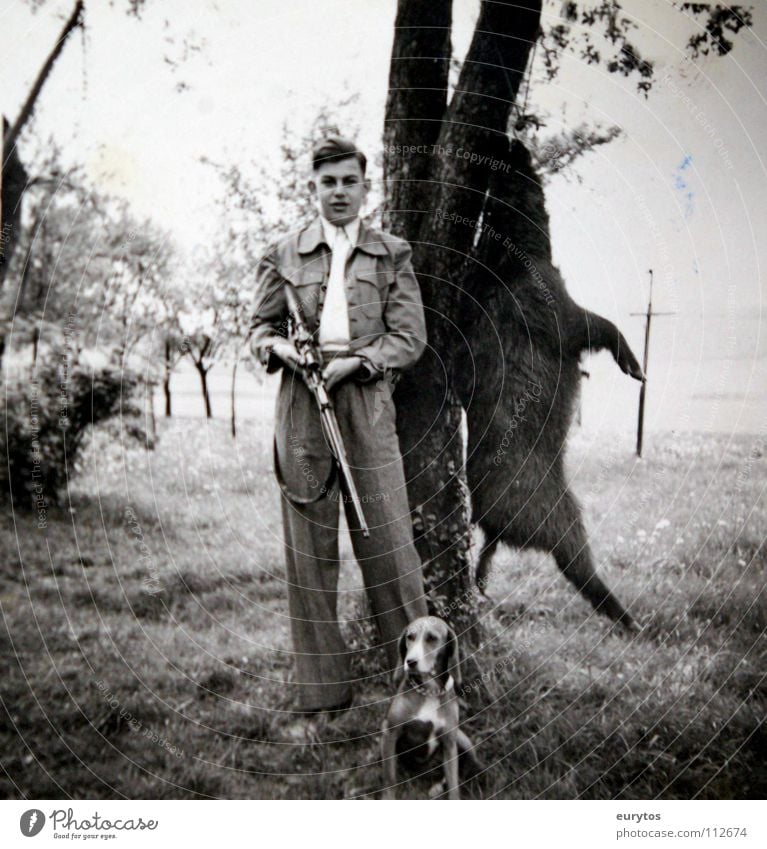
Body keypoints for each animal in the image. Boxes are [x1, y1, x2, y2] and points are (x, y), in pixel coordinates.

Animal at [380, 612, 476, 800]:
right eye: (410, 637)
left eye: (432, 638)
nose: (410, 661)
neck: (429, 691)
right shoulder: (390, 731)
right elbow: (390, 778)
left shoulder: (449, 742)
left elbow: (454, 784)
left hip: (464, 742)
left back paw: (438, 786)